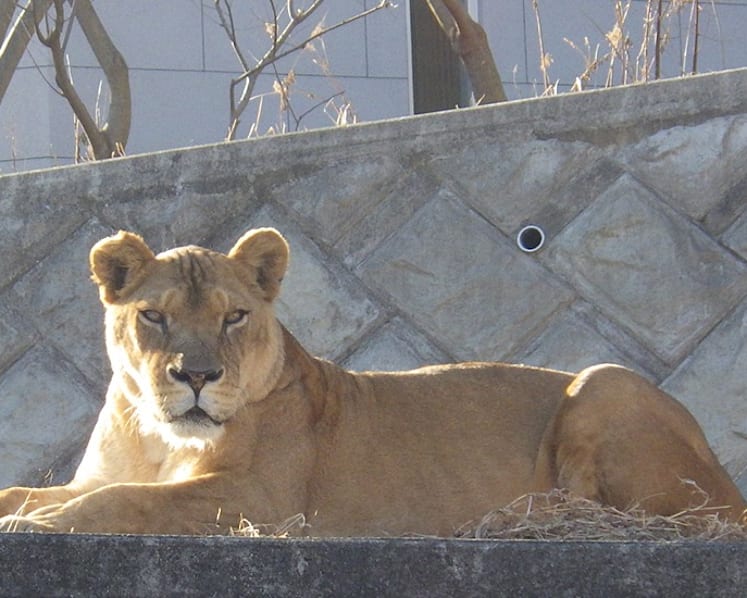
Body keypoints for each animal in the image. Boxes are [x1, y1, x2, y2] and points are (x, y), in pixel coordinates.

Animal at [0, 228, 744, 536]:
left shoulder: (260, 500)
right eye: (153, 316)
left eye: (234, 316)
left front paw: (42, 524)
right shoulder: (104, 474)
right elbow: (35, 488)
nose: (197, 376)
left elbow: (129, 501)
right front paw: (24, 508)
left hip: (602, 381)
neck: (158, 437)